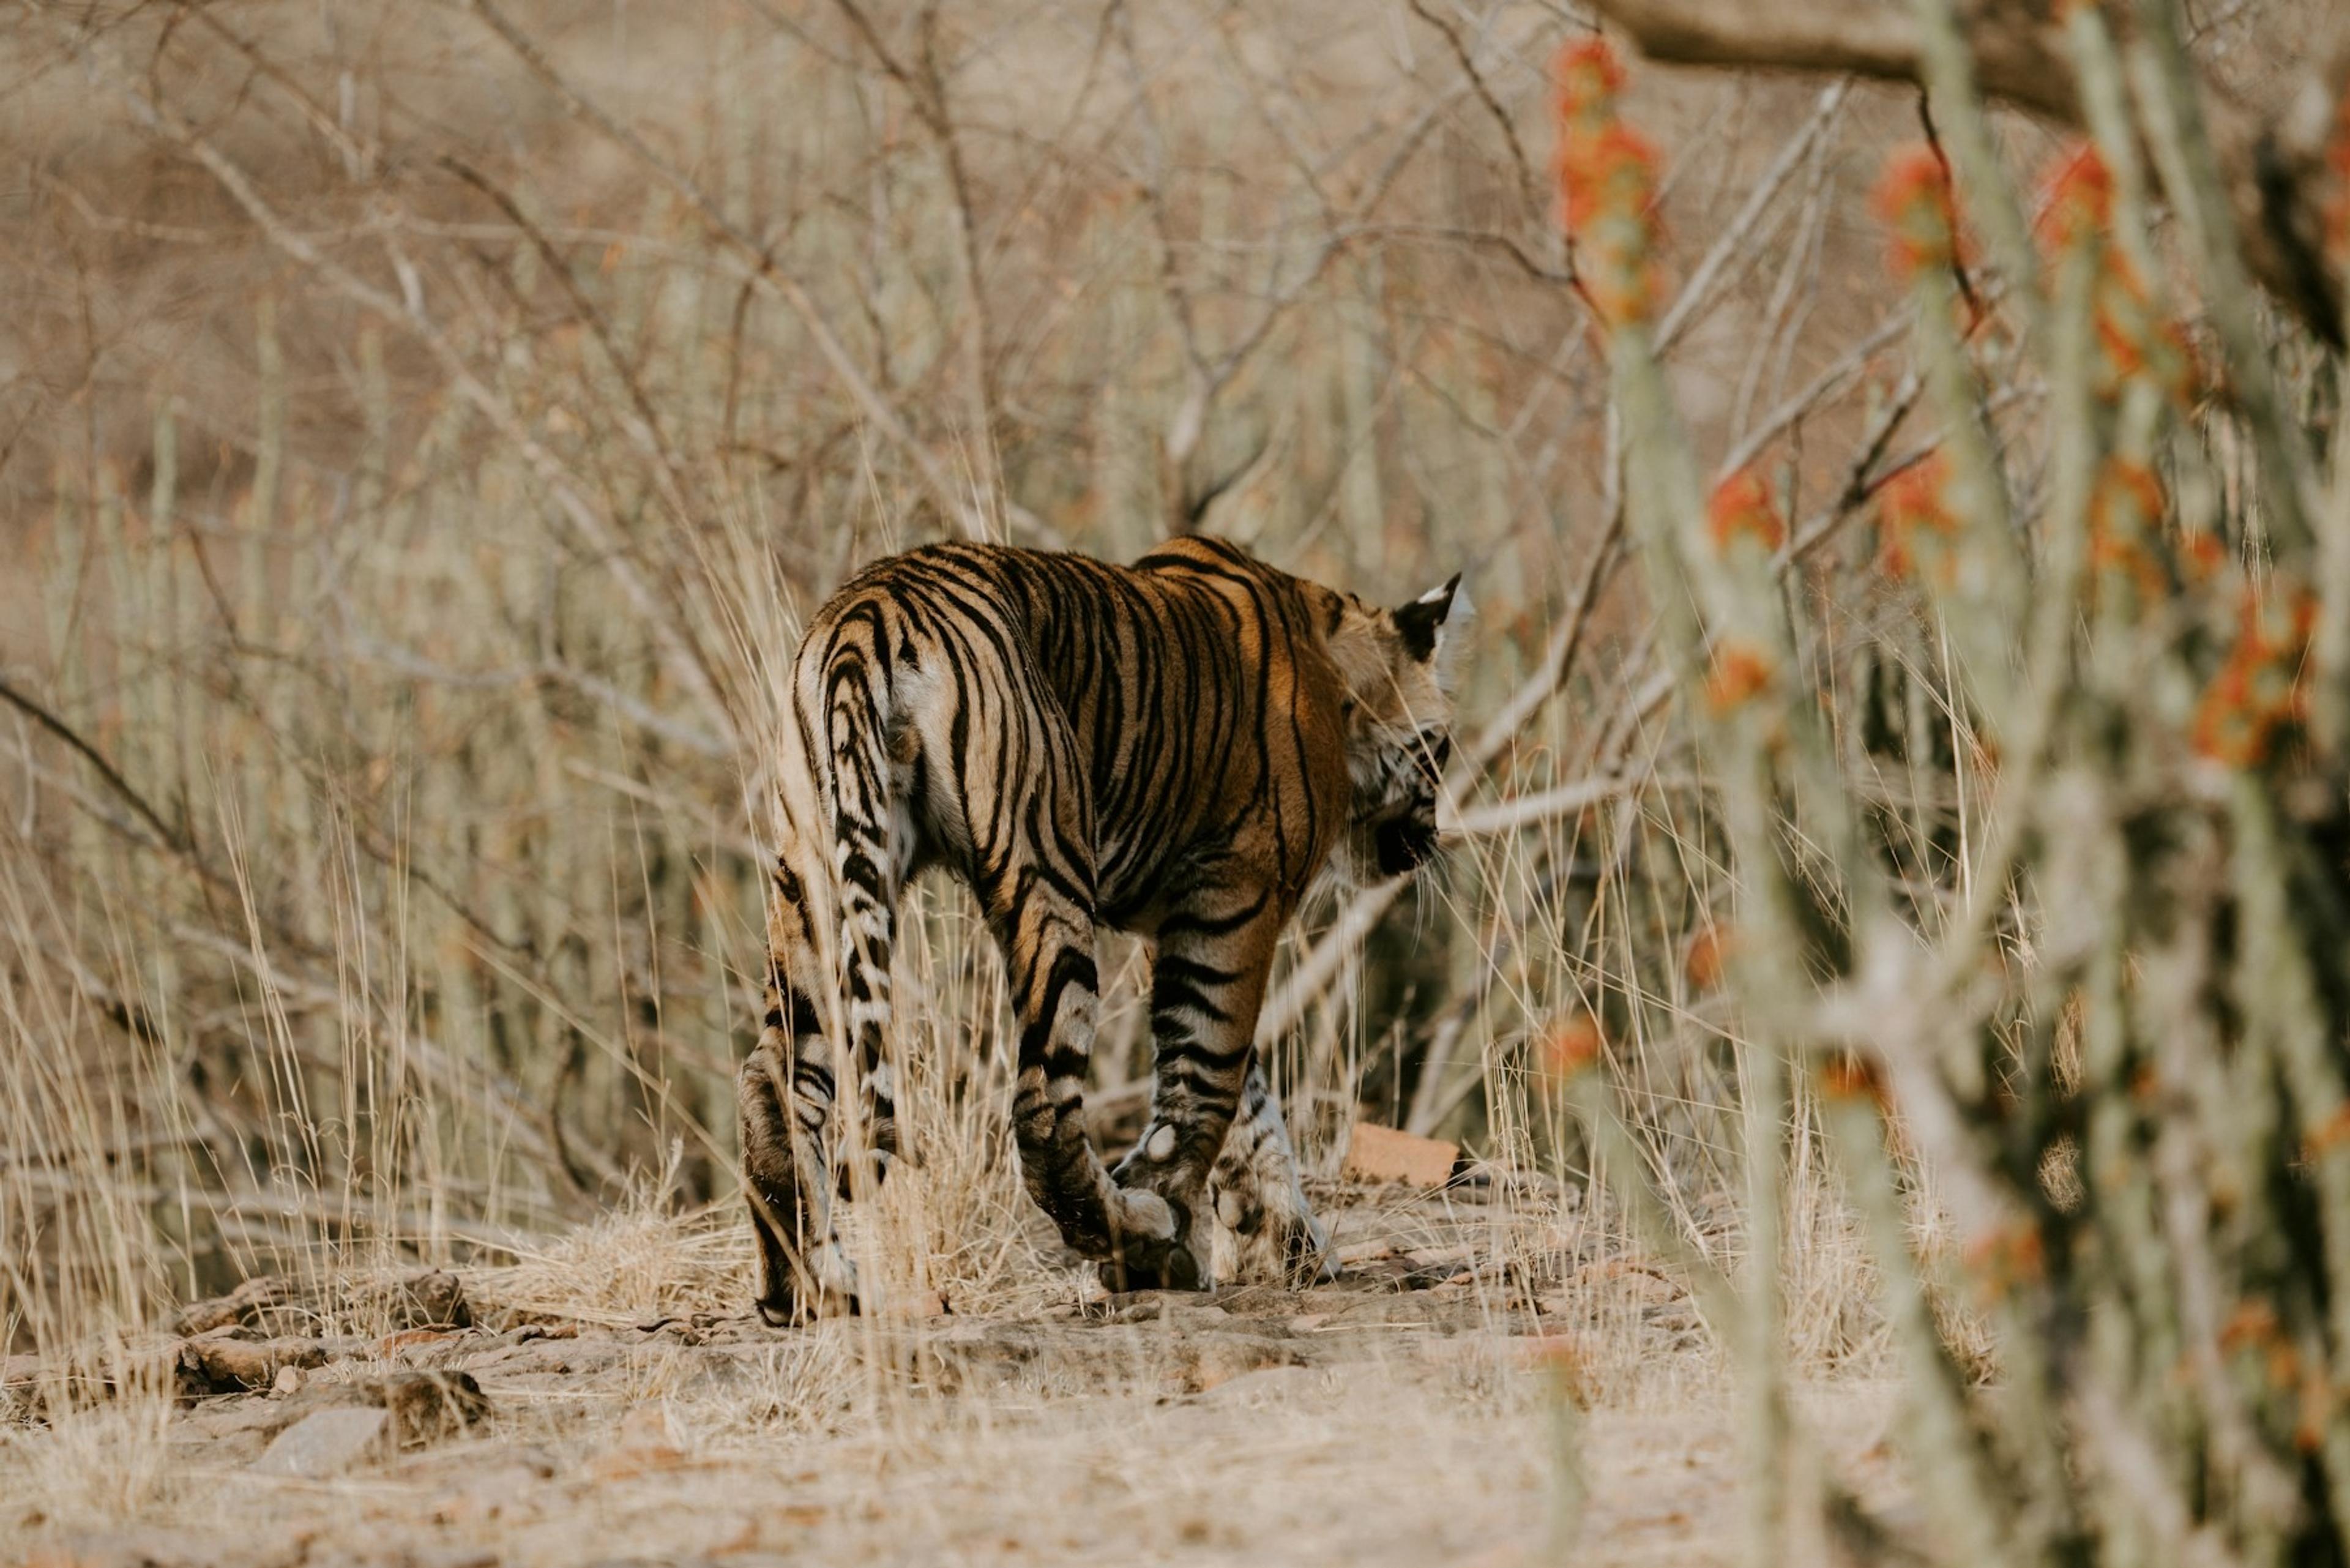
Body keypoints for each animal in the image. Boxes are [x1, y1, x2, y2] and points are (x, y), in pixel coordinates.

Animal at [736, 534, 1461, 1323]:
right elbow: (1209, 1080)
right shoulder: (1236, 895)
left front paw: (1282, 1239)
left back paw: (812, 1288)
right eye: (1445, 749)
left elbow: (1246, 1097)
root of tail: (869, 612)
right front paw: (1176, 1227)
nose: (1437, 835)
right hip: (1046, 870)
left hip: (812, 880)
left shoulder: (1175, 924)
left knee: (772, 1084)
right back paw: (1137, 1236)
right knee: (1043, 1113)